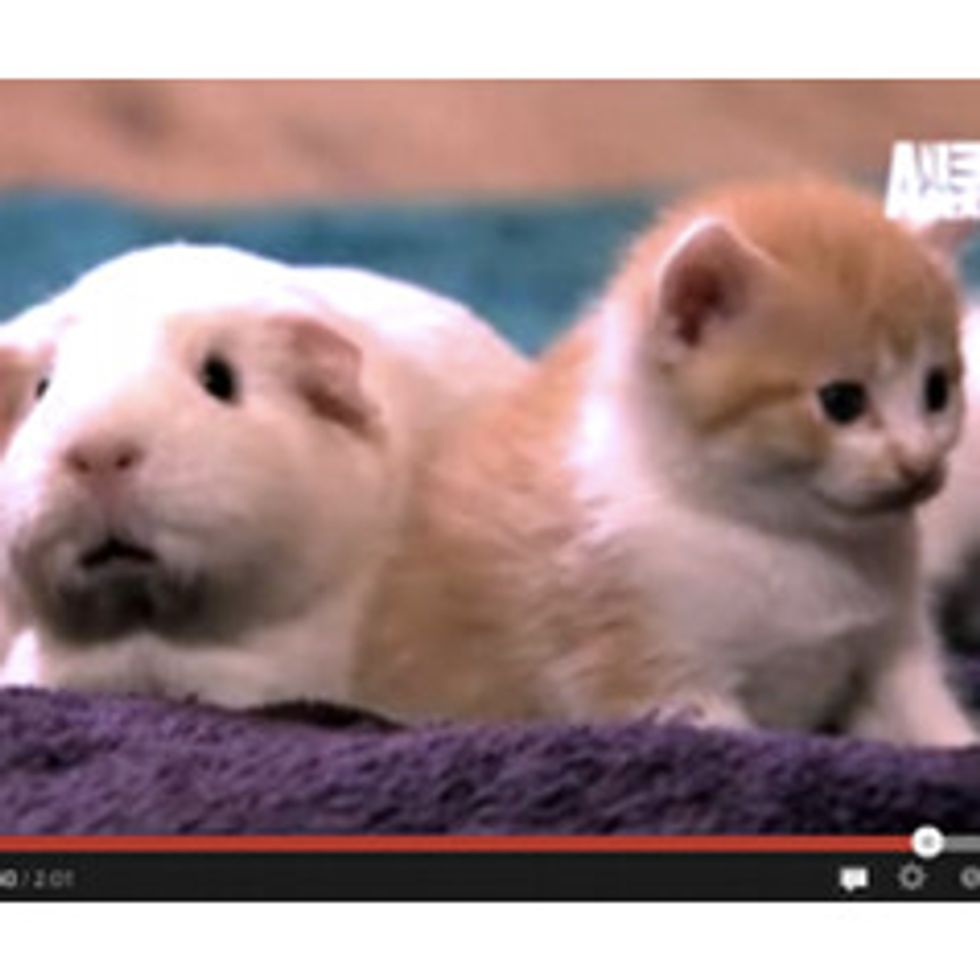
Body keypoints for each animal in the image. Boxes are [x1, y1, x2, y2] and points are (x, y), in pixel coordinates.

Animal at [356, 178, 976, 744]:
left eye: (937, 390)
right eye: (842, 401)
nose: (919, 464)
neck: (786, 540)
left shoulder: (894, 647)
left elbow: (928, 719)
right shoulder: (655, 675)